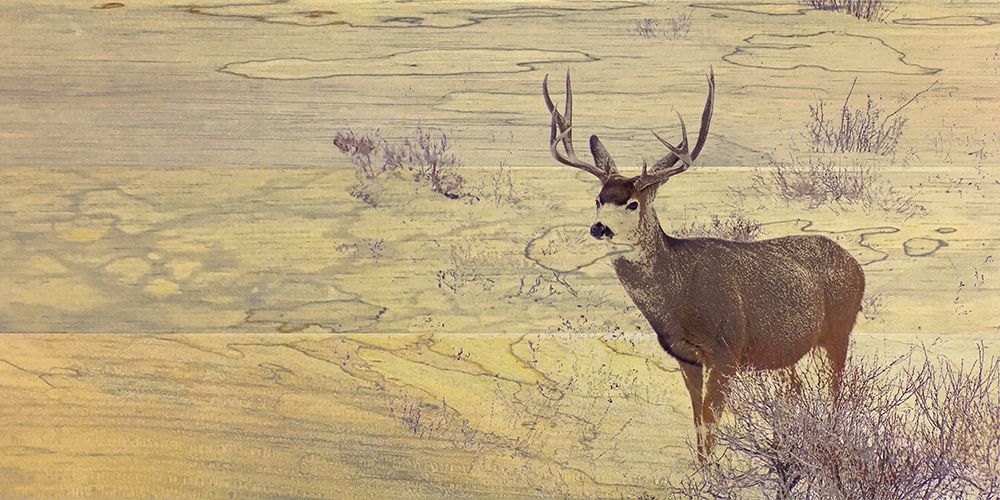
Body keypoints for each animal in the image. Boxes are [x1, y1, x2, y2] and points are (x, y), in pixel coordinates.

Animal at [542, 69, 865, 458]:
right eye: (598, 199)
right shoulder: (687, 358)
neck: (678, 294)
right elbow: (698, 424)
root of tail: (856, 265)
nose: (598, 227)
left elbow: (711, 425)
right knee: (798, 389)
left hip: (838, 331)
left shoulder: (726, 350)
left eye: (632, 203)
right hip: (786, 349)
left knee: (835, 394)